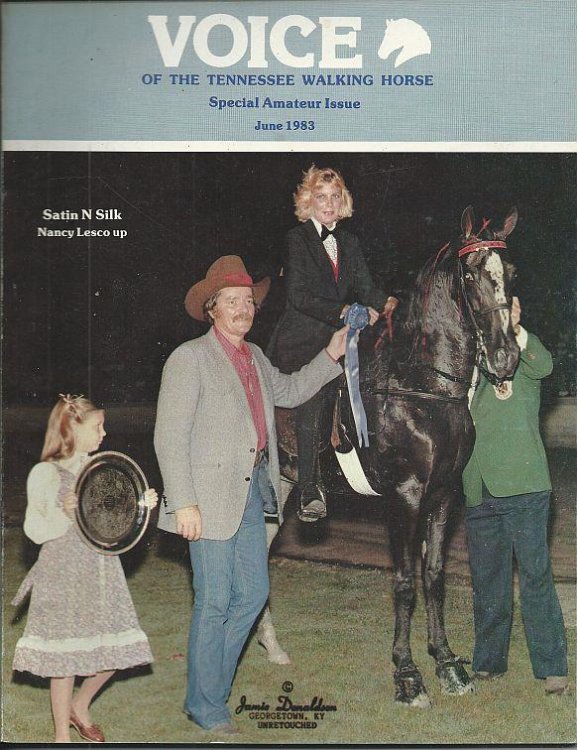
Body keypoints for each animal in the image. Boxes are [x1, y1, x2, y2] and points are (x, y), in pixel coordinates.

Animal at [269, 206, 521, 705]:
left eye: (511, 272)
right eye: (469, 272)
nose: (506, 359)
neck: (422, 387)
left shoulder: (443, 495)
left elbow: (434, 577)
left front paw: (447, 663)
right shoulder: (405, 496)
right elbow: (404, 582)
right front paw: (407, 674)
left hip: (282, 484)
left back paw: (271, 649)